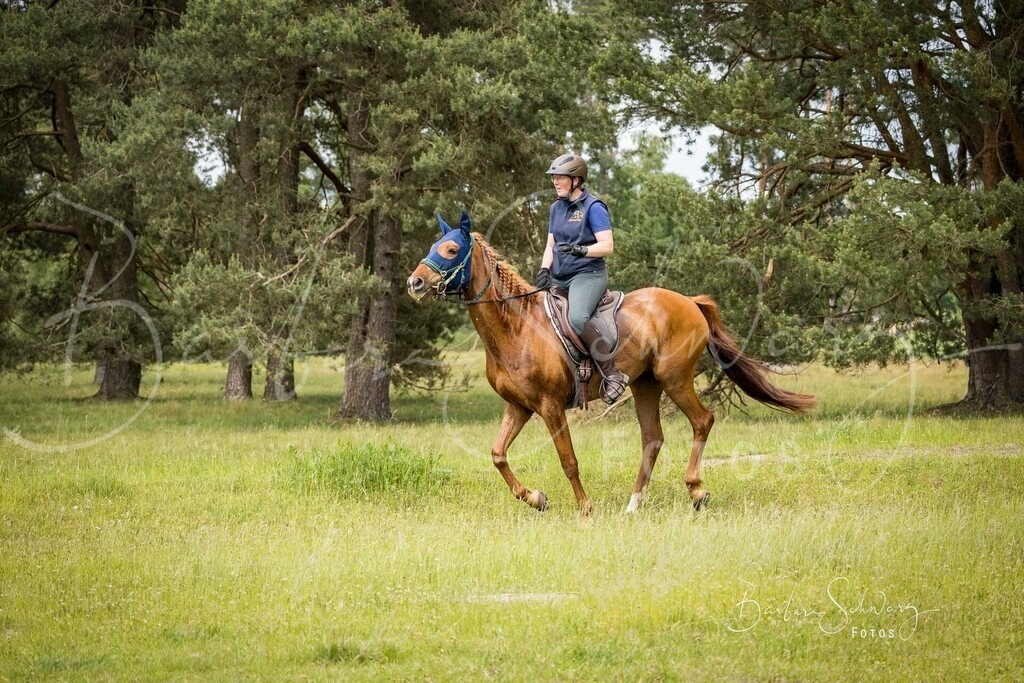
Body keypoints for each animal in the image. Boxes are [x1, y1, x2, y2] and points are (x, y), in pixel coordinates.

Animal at [407, 212, 815, 514]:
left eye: (450, 248)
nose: (415, 283)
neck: (517, 328)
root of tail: (690, 301)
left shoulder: (551, 406)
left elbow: (568, 460)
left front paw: (585, 508)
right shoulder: (519, 406)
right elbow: (497, 454)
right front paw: (536, 498)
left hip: (675, 378)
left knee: (702, 421)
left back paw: (697, 491)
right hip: (645, 383)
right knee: (652, 439)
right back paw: (634, 504)